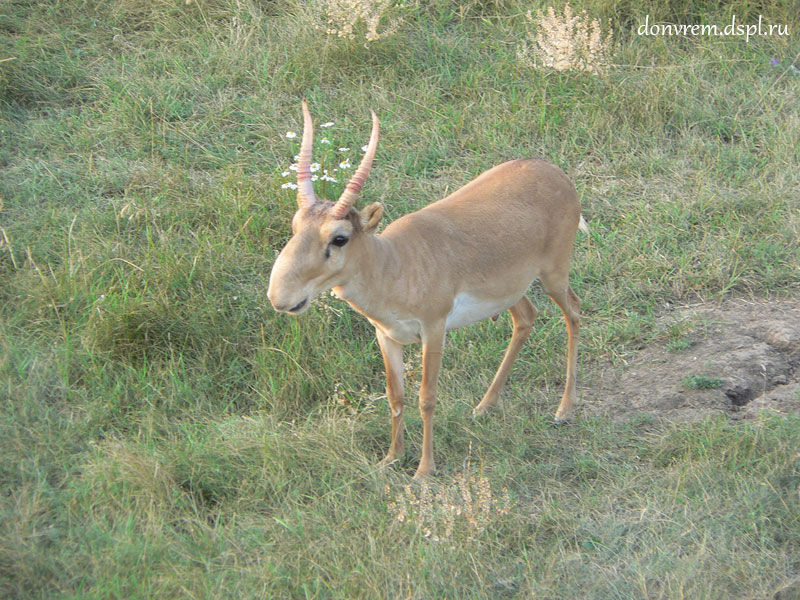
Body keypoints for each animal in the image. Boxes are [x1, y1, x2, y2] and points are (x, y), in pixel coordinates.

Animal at [266, 102, 584, 478]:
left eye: (339, 238)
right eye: (296, 226)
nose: (280, 297)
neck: (395, 263)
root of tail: (555, 173)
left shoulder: (433, 330)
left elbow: (426, 398)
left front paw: (424, 469)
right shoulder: (386, 335)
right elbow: (396, 396)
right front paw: (391, 458)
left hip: (553, 276)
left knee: (574, 312)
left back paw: (564, 410)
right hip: (510, 291)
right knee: (526, 317)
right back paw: (484, 406)